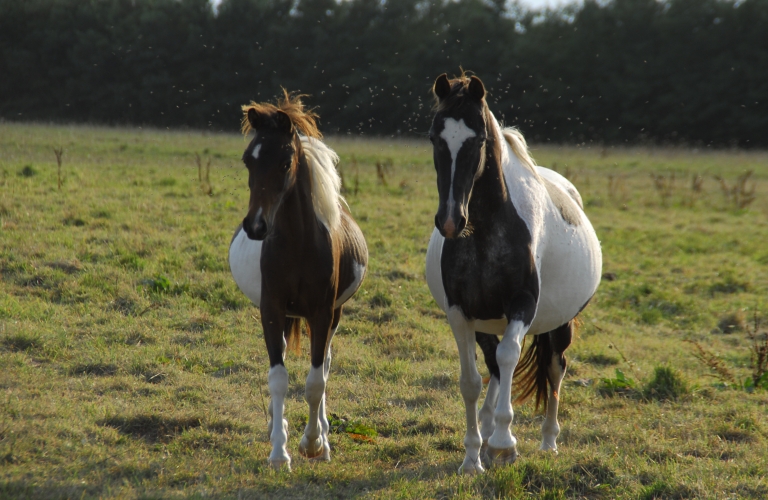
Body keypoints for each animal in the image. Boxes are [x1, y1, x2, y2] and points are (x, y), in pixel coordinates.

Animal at [230, 92, 368, 470]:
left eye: (285, 161)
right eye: (248, 161)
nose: (256, 226)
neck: (297, 244)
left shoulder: (321, 314)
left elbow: (315, 381)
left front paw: (313, 443)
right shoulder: (271, 310)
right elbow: (278, 378)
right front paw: (279, 451)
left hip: (333, 316)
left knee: (325, 365)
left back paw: (323, 439)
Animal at [426, 73, 600, 472]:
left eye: (478, 139)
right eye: (434, 137)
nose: (450, 220)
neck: (487, 230)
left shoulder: (523, 305)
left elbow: (510, 357)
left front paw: (505, 442)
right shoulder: (460, 313)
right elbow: (471, 381)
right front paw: (472, 456)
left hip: (559, 325)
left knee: (553, 367)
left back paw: (547, 441)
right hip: (487, 323)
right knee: (493, 369)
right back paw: (487, 434)